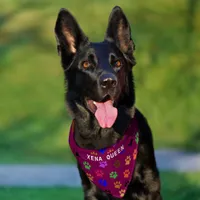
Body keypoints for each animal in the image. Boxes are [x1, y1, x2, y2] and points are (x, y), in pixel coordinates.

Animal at [54, 6, 162, 200]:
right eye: (86, 64)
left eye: (117, 63)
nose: (109, 82)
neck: (103, 136)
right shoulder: (91, 191)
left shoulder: (149, 186)